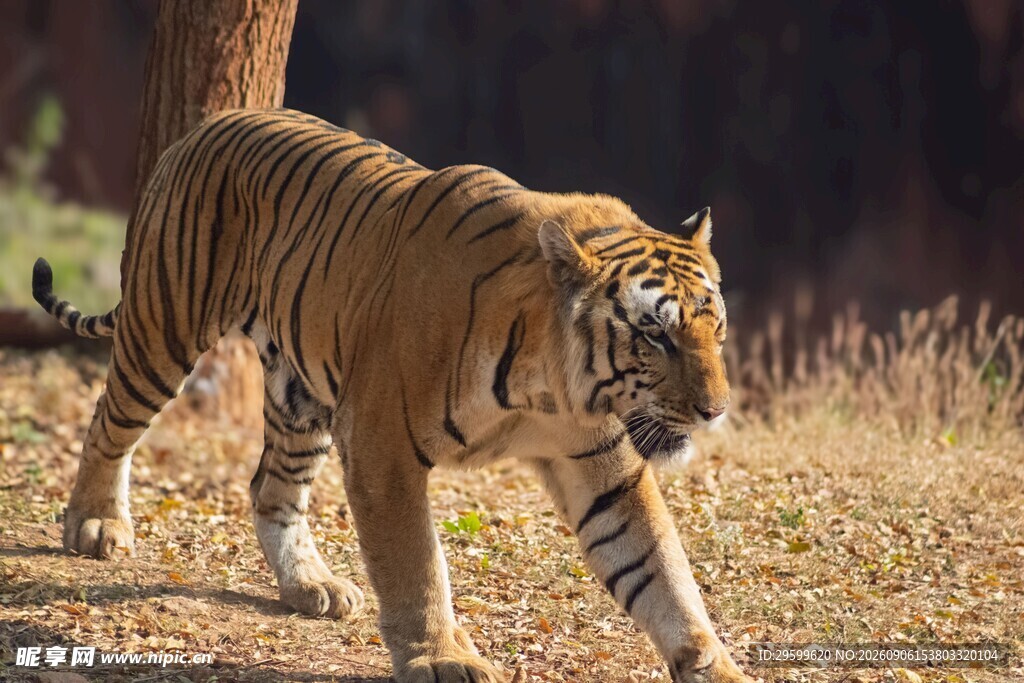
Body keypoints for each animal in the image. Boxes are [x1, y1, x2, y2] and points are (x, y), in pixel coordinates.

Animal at [32, 108, 751, 683]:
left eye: (716, 327)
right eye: (655, 334)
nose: (716, 411)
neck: (550, 387)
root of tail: (207, 123)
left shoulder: (603, 465)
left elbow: (660, 570)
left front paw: (714, 665)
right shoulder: (383, 447)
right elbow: (415, 564)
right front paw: (442, 657)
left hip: (301, 395)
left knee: (270, 487)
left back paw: (311, 585)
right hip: (165, 329)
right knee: (110, 423)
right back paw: (95, 524)